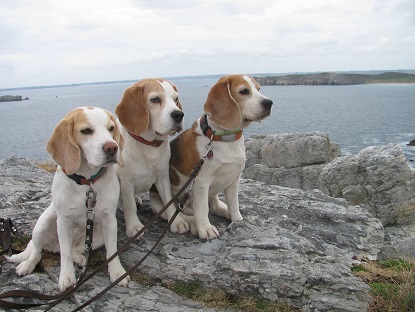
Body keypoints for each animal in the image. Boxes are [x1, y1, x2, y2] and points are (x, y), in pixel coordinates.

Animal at [6, 106, 129, 290]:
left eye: (111, 128)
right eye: (86, 131)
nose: (112, 148)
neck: (87, 182)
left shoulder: (109, 220)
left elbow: (112, 250)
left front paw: (117, 272)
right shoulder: (63, 221)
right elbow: (64, 254)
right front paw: (66, 276)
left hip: (97, 235)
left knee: (74, 249)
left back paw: (80, 258)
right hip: (43, 224)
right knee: (38, 251)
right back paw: (27, 265)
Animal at [115, 78, 190, 239]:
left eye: (176, 99)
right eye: (155, 99)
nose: (179, 114)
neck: (148, 145)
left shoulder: (163, 177)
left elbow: (168, 201)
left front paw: (176, 221)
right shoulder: (126, 181)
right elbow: (130, 206)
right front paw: (134, 226)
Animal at [151, 75, 274, 239]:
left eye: (259, 89)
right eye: (244, 91)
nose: (269, 103)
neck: (224, 139)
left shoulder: (234, 180)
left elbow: (234, 205)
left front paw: (237, 220)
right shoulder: (201, 182)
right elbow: (202, 209)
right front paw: (205, 228)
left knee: (214, 205)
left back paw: (223, 210)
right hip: (160, 203)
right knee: (184, 215)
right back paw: (193, 224)